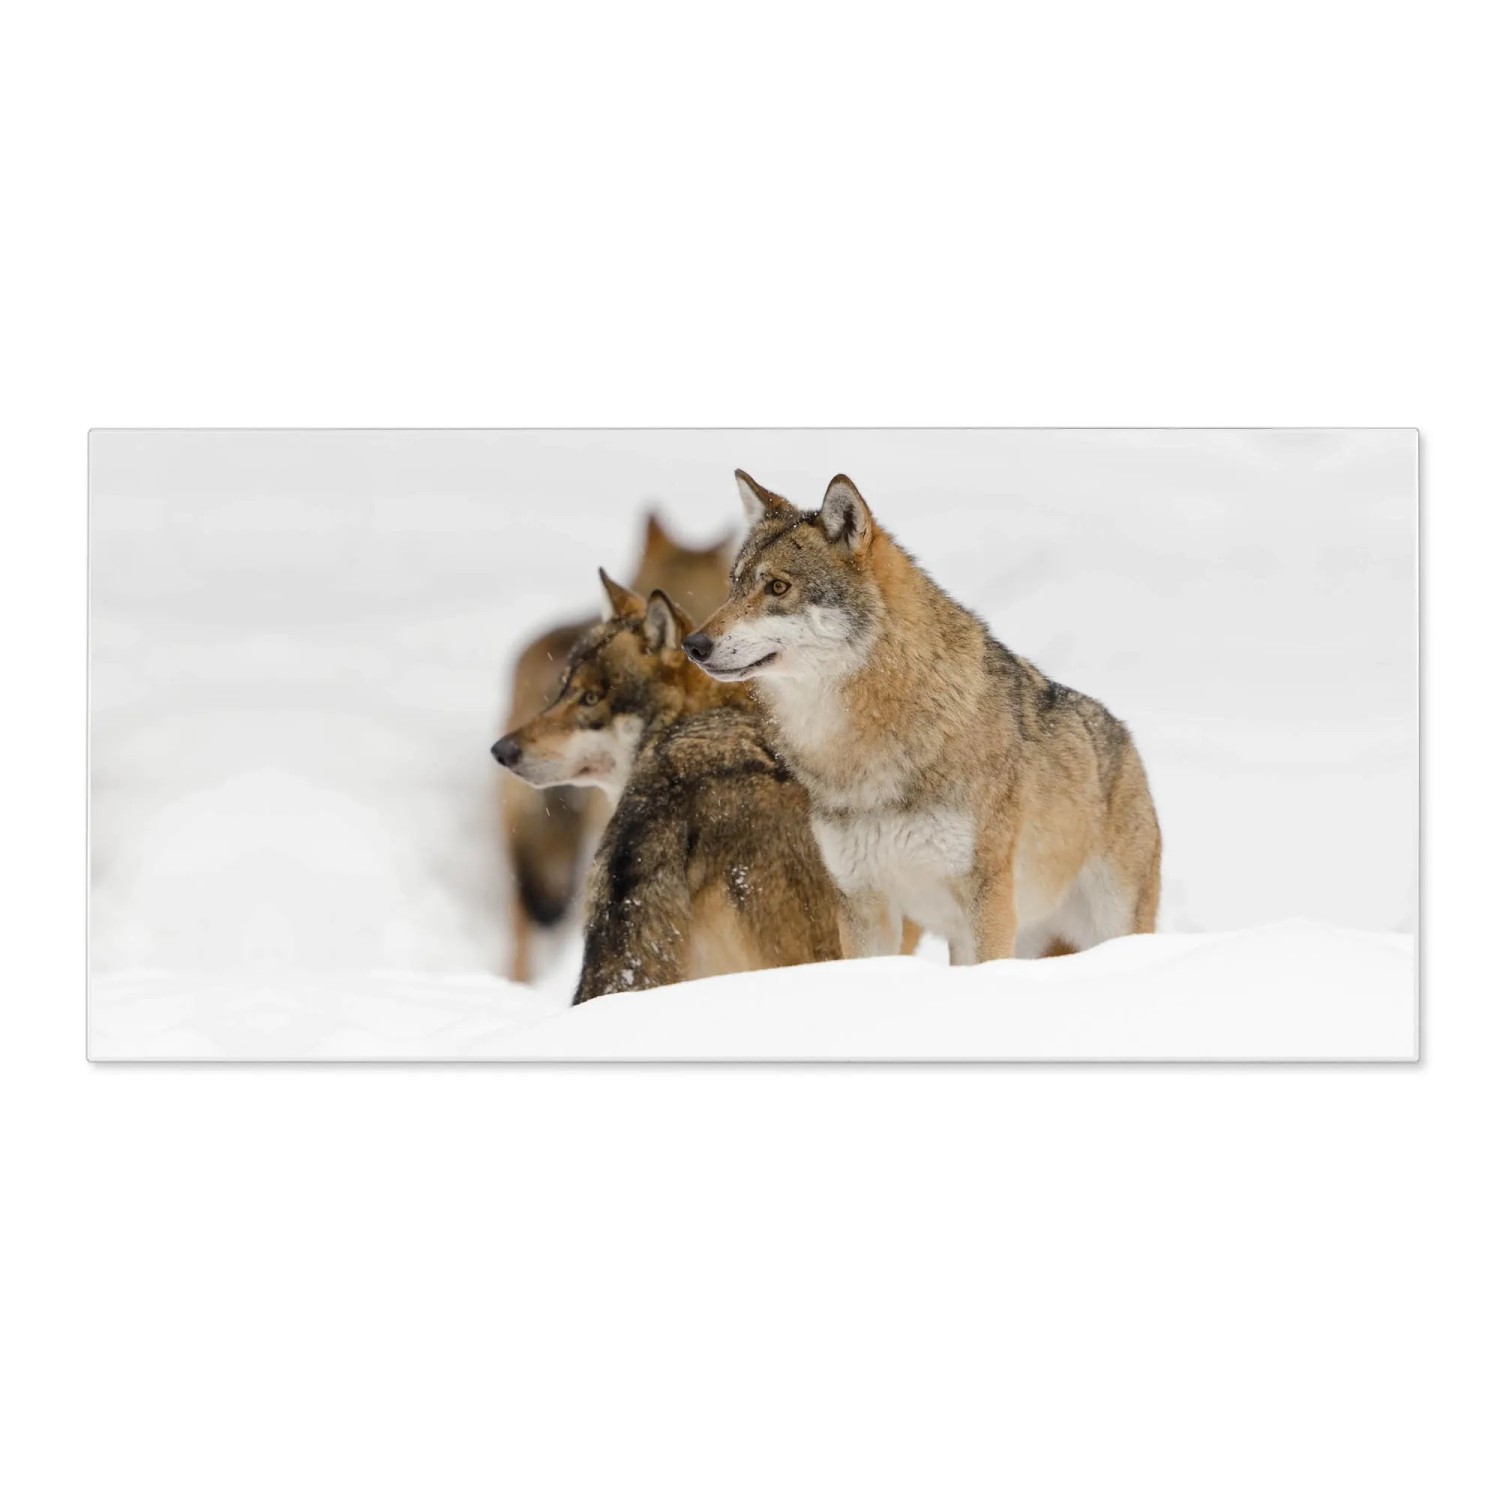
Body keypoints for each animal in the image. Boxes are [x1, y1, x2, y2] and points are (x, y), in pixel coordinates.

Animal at [682, 470, 1162, 964]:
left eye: (777, 587)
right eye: (734, 586)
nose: (694, 645)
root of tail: (1125, 739)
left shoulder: (986, 900)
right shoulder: (861, 902)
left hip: (1105, 923)